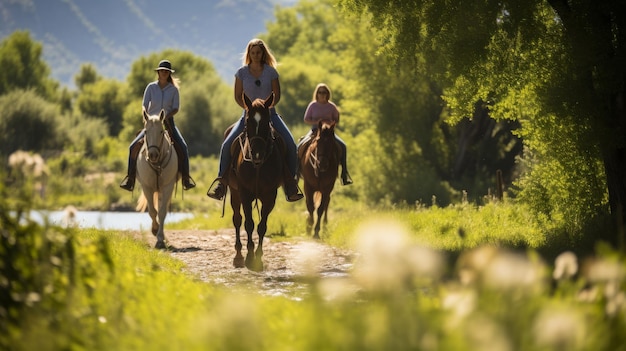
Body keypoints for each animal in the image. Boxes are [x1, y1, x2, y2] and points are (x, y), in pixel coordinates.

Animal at [224, 93, 282, 272]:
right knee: (237, 219)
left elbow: (262, 226)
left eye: (266, 121)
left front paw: (258, 258)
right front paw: (250, 258)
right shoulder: (245, 194)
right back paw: (238, 257)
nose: (256, 154)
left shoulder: (270, 196)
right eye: (248, 121)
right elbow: (248, 223)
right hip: (234, 193)